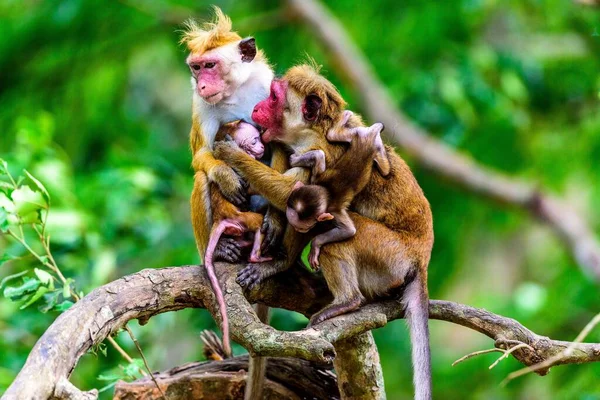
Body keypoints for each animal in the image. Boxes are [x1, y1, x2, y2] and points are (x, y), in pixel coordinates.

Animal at [206, 120, 272, 358]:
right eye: (254, 141)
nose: (261, 146)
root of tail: (221, 218)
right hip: (243, 219)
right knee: (259, 222)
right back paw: (256, 258)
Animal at [286, 110, 390, 268]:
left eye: (304, 228)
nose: (298, 229)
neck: (326, 190)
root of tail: (369, 135)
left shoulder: (332, 208)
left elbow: (349, 231)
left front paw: (315, 245)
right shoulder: (317, 181)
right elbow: (319, 155)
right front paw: (294, 160)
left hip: (373, 147)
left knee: (386, 171)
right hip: (359, 137)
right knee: (332, 136)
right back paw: (346, 117)